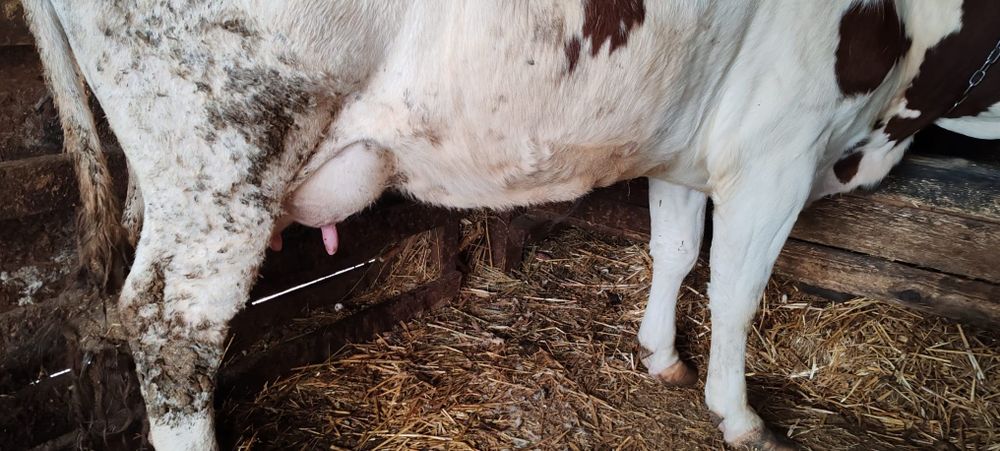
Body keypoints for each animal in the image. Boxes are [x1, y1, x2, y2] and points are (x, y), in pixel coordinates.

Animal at [19, 0, 999, 449]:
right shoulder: (779, 148)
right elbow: (736, 292)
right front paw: (740, 413)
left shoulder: (689, 144)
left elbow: (678, 248)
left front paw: (660, 355)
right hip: (224, 147)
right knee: (172, 325)